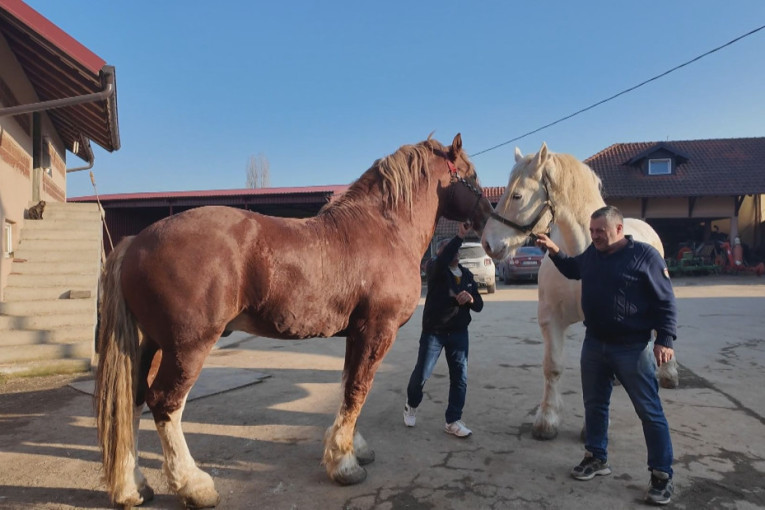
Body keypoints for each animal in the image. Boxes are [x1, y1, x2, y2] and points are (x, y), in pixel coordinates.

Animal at [94, 133, 490, 508]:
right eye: (470, 176)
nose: (488, 217)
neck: (385, 228)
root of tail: (136, 242)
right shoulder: (377, 331)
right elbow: (358, 389)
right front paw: (344, 463)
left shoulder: (356, 334)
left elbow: (347, 387)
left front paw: (351, 447)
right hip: (187, 347)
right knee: (165, 403)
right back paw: (194, 486)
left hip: (150, 345)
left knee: (132, 402)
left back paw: (133, 487)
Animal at [480, 142, 676, 438]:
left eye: (517, 195)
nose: (487, 243)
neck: (582, 254)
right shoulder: (551, 320)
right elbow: (552, 368)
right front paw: (547, 420)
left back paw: (668, 373)